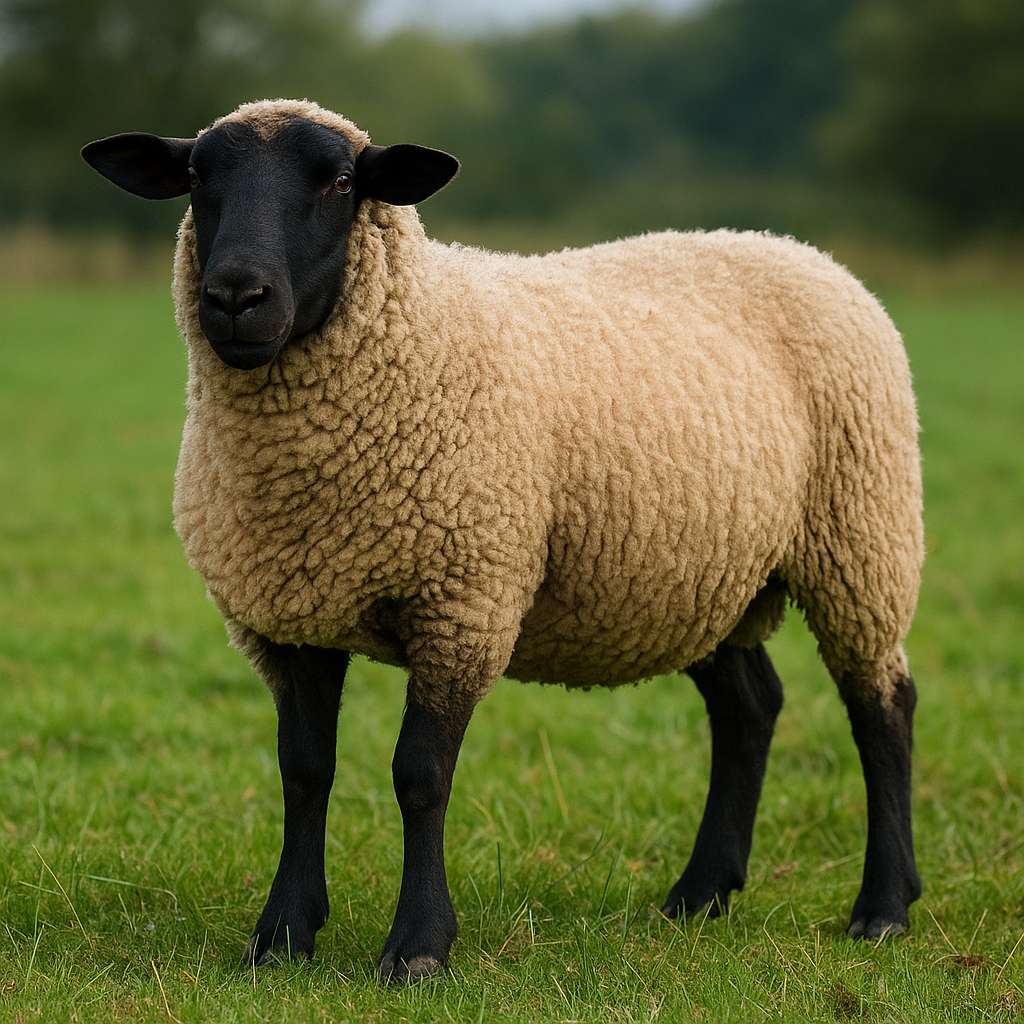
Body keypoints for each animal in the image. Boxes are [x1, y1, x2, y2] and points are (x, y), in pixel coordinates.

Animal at [82, 98, 924, 983]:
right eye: (195, 177)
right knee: (750, 708)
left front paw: (417, 948)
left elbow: (418, 775)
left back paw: (882, 908)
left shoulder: (463, 603)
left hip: (860, 536)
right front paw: (280, 937)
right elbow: (304, 771)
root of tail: (792, 245)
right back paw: (701, 894)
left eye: (342, 182)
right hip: (703, 575)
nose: (237, 296)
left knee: (881, 707)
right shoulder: (290, 614)